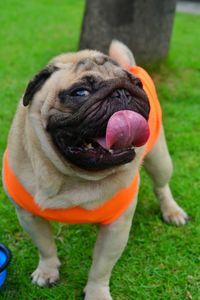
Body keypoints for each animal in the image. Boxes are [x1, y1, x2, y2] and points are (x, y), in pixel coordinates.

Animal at [2, 40, 188, 300]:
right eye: (80, 93)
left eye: (136, 84)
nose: (122, 92)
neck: (73, 175)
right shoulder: (28, 216)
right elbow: (45, 246)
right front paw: (47, 271)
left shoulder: (116, 227)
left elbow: (101, 267)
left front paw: (96, 293)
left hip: (160, 158)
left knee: (161, 186)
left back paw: (172, 211)